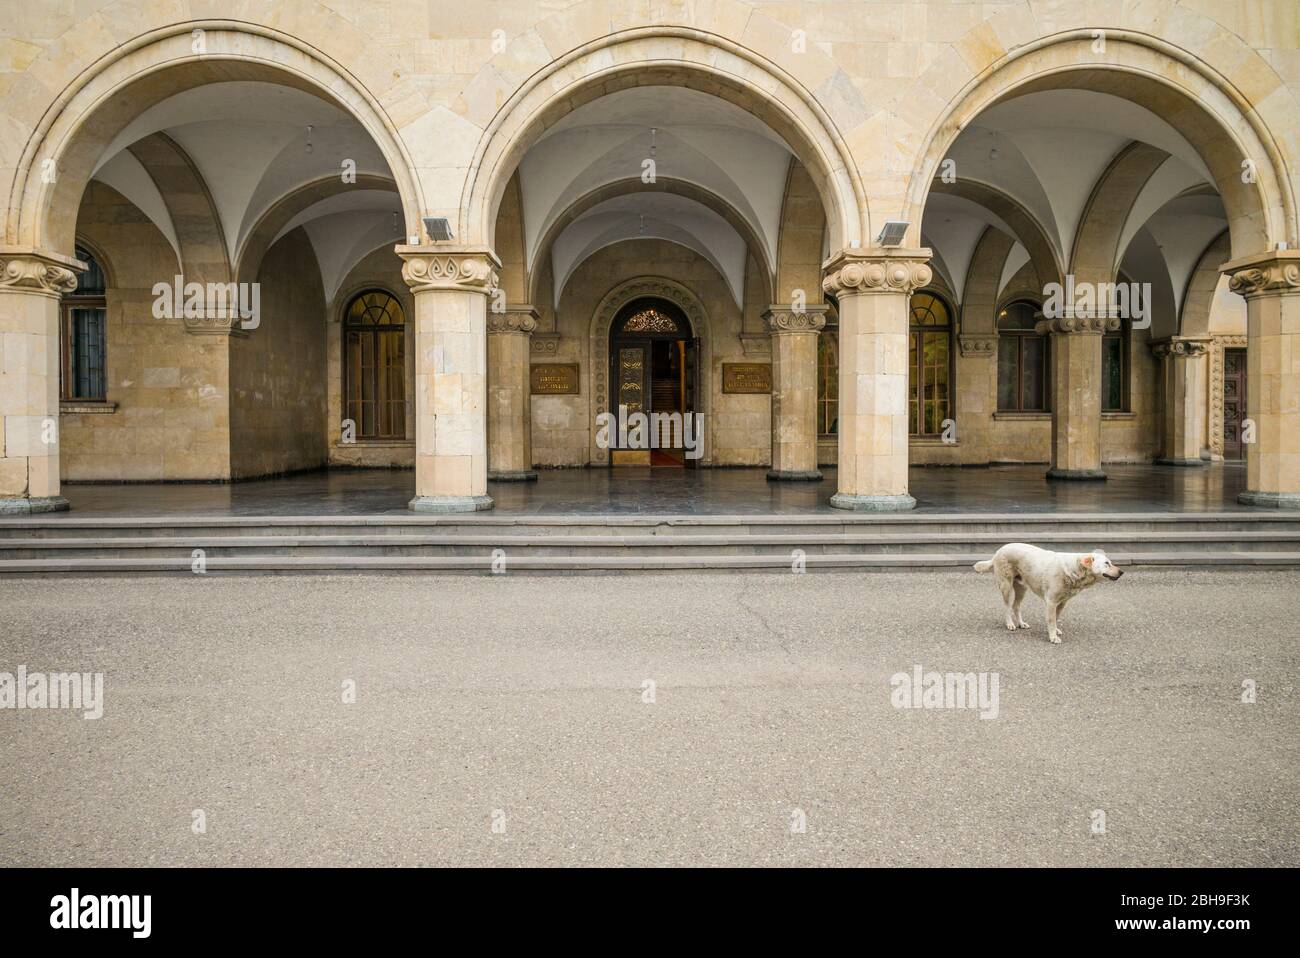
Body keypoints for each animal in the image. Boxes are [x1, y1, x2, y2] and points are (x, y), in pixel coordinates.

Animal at [972, 545, 1123, 642]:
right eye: (1107, 563)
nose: (1122, 572)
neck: (1074, 570)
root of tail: (998, 550)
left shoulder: (1062, 602)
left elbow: (1056, 618)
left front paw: (1055, 631)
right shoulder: (1051, 601)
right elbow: (1051, 619)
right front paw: (1053, 637)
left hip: (1022, 588)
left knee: (1016, 606)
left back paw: (1021, 623)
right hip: (1006, 587)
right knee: (1007, 607)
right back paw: (1010, 624)